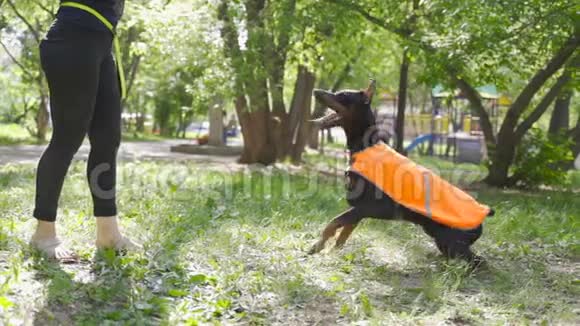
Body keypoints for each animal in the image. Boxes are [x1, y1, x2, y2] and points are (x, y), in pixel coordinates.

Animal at [306, 80, 492, 266]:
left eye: (343, 95)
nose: (315, 91)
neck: (365, 146)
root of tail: (484, 217)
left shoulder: (369, 206)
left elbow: (333, 223)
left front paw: (316, 247)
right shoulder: (358, 208)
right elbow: (344, 232)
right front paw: (332, 252)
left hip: (451, 242)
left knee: (477, 261)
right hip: (439, 237)